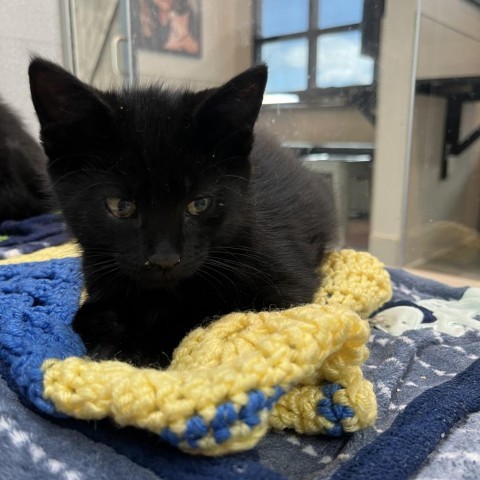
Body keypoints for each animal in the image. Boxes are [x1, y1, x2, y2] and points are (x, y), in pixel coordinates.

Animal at [29, 58, 338, 366]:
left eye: (199, 204)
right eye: (120, 206)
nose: (164, 259)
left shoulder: (285, 285)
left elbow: (205, 309)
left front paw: (134, 345)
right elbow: (84, 317)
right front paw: (108, 322)